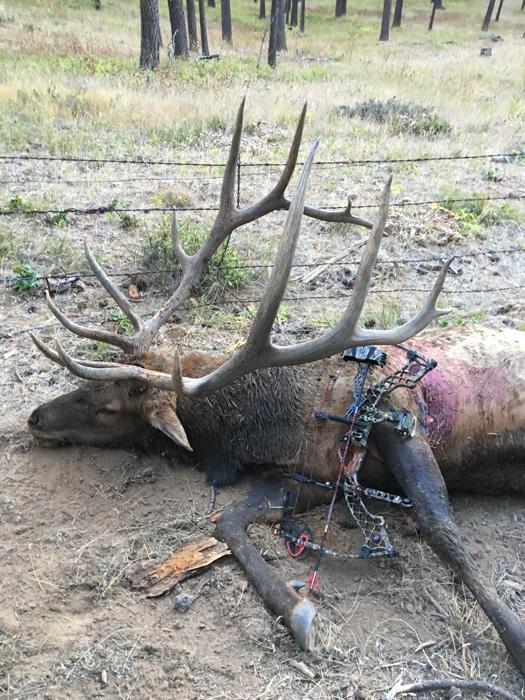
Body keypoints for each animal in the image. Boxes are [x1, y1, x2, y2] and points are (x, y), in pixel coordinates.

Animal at [27, 101, 525, 676]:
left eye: (106, 406)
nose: (34, 418)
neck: (273, 426)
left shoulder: (399, 413)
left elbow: (441, 527)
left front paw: (515, 638)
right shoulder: (315, 475)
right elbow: (228, 520)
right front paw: (297, 610)